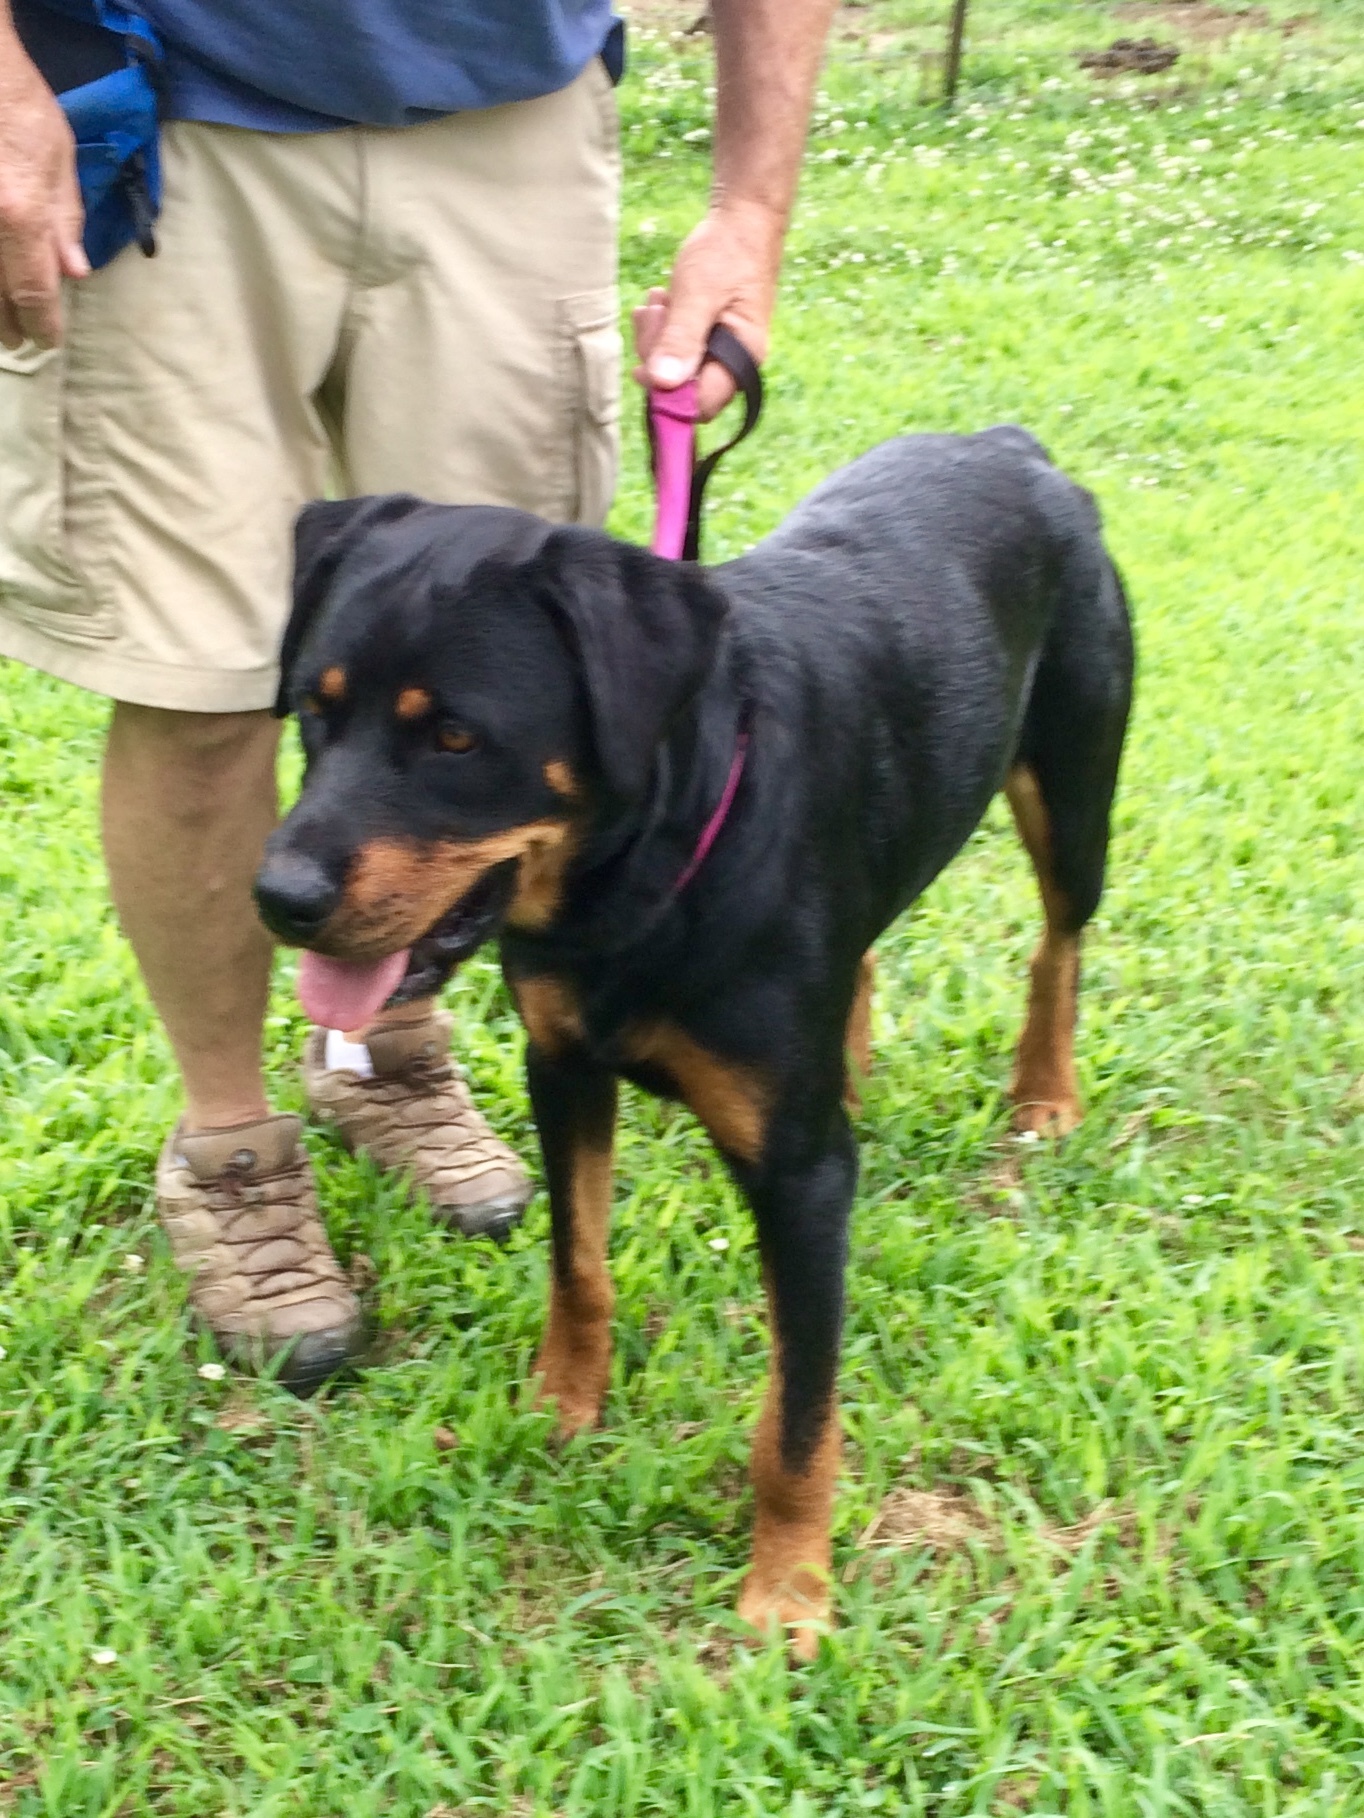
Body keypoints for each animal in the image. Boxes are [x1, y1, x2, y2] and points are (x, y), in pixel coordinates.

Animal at [254, 429, 1134, 1665]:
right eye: (314, 713)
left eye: (456, 737)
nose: (277, 898)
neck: (641, 877)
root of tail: (1009, 445)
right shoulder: (562, 1071)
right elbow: (577, 1268)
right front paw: (560, 1409)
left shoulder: (802, 1179)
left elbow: (799, 1416)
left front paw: (789, 1594)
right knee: (867, 952)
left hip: (1073, 781)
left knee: (1059, 942)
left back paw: (1044, 1093)